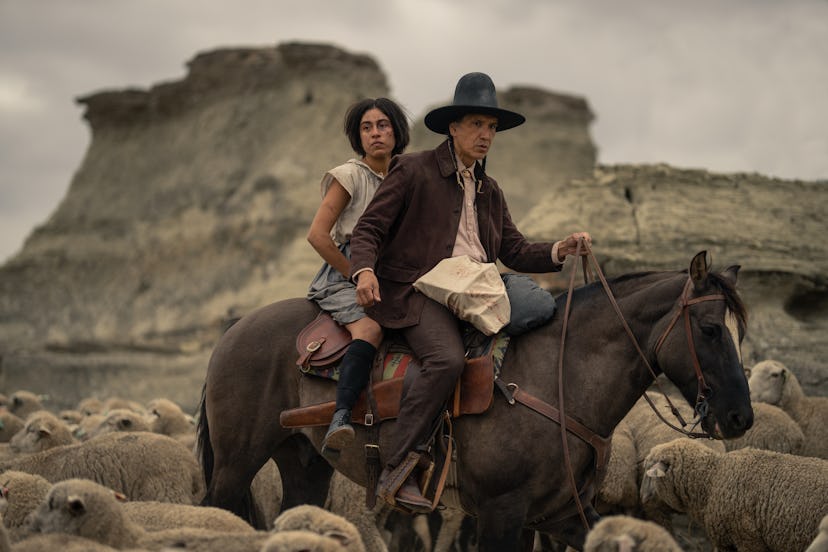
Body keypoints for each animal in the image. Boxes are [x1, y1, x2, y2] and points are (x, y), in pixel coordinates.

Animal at [197, 252, 752, 548]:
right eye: (709, 329)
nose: (740, 417)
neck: (557, 378)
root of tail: (232, 332)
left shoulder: (558, 516)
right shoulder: (501, 513)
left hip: (304, 466)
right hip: (234, 465)